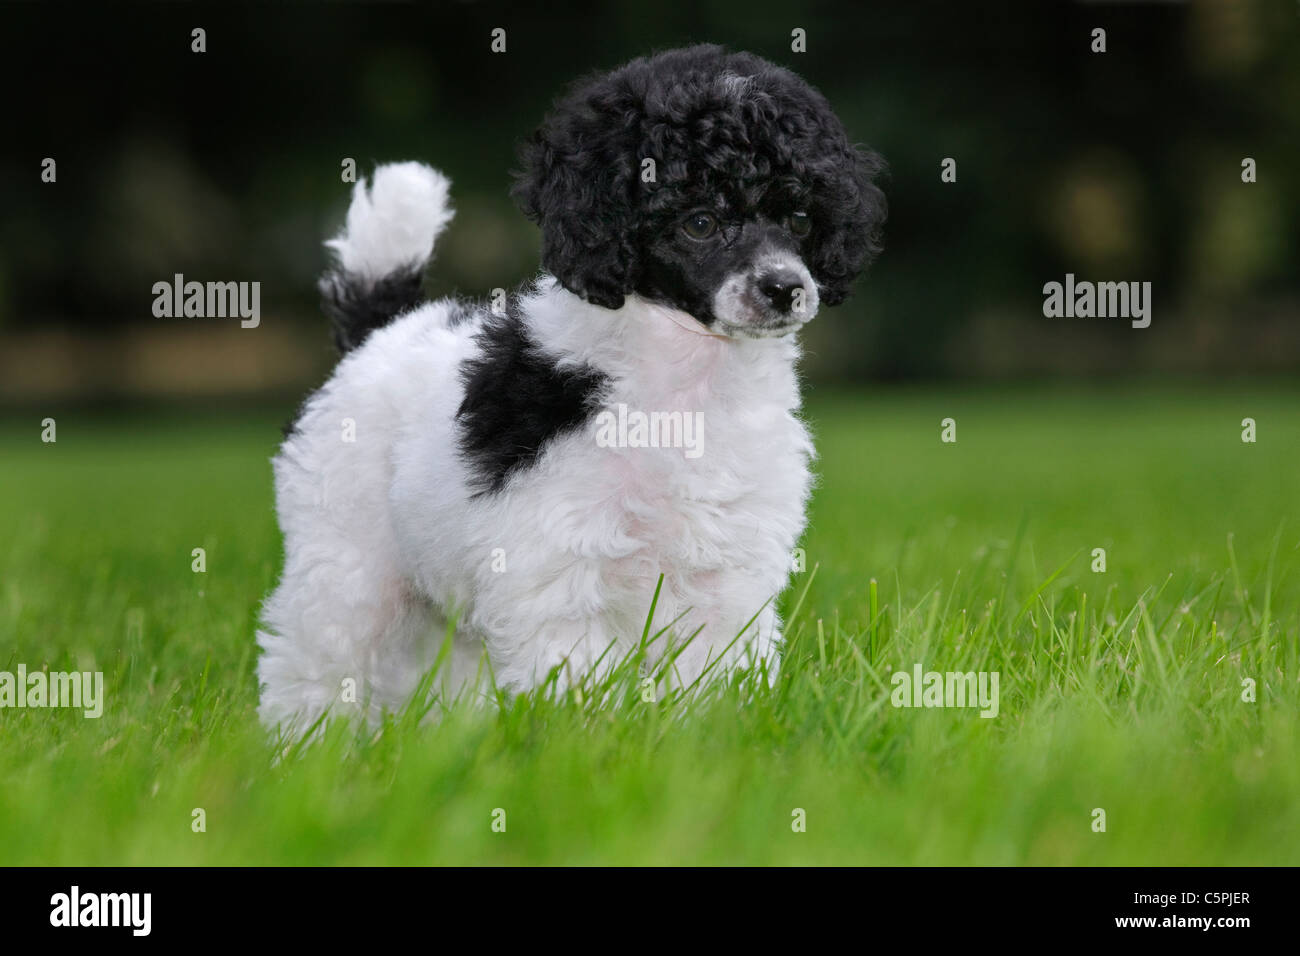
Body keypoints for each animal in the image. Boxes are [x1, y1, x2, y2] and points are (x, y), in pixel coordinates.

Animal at [256, 42, 883, 733]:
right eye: (699, 222)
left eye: (799, 219)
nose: (785, 288)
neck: (685, 380)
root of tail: (382, 330)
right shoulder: (558, 566)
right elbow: (576, 675)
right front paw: (586, 740)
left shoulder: (725, 570)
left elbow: (717, 665)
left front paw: (713, 729)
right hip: (349, 558)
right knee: (318, 656)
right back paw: (304, 743)